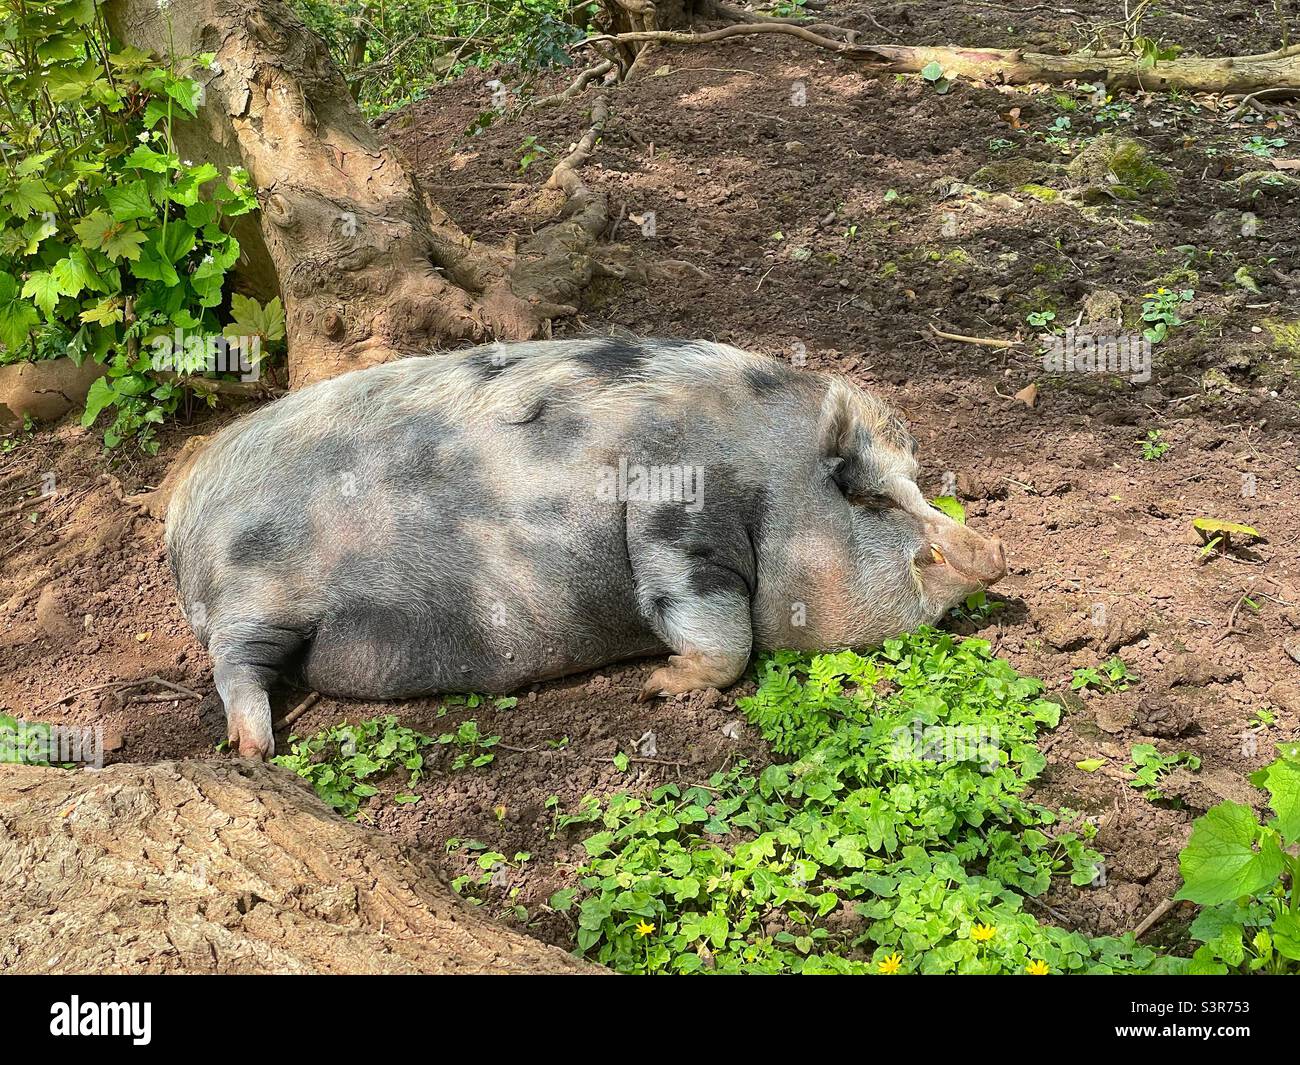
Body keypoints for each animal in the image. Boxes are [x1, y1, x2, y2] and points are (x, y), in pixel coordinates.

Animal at [167, 335, 1008, 759]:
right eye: (868, 498)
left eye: (916, 485)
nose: (995, 553)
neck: (773, 479)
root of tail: (181, 509)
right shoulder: (672, 515)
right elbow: (718, 629)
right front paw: (656, 688)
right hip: (254, 588)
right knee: (233, 661)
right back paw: (253, 750)